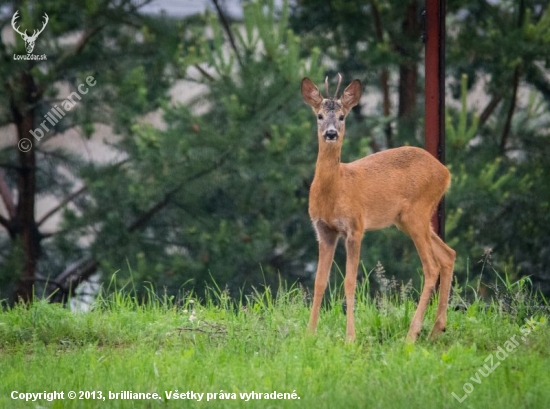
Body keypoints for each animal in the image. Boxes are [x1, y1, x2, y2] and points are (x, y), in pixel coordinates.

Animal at [302, 74, 458, 342]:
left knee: (432, 267)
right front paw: (309, 335)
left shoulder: (355, 227)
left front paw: (350, 338)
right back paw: (436, 330)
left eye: (342, 116)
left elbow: (349, 281)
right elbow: (320, 281)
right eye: (320, 116)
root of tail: (445, 173)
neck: (336, 190)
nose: (331, 133)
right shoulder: (324, 230)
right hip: (407, 219)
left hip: (417, 212)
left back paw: (412, 335)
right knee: (448, 255)